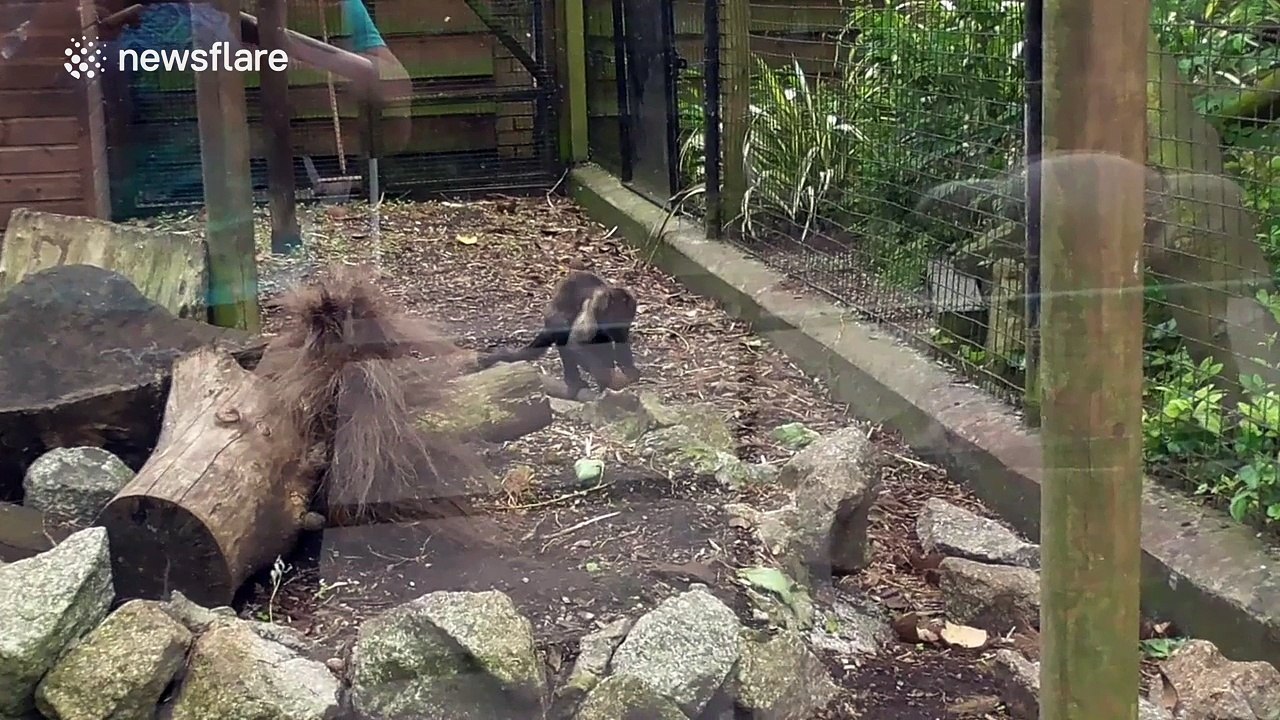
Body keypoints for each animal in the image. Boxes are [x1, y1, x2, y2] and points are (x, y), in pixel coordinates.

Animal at [476, 269, 641, 399]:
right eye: (614, 316)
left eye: (623, 321)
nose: (615, 327)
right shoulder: (595, 304)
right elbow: (575, 344)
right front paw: (611, 380)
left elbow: (618, 343)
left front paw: (629, 372)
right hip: (553, 316)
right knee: (563, 329)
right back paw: (574, 381)